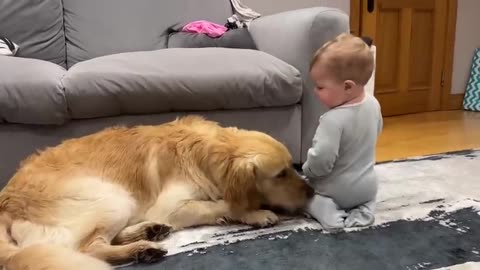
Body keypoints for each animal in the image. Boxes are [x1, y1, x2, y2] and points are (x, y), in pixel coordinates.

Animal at [0, 116, 314, 270]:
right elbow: (222, 204)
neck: (207, 151)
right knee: (89, 248)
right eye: (280, 174)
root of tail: (5, 203)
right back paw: (141, 250)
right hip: (112, 196)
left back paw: (149, 233)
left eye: (292, 166)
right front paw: (255, 212)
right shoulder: (170, 207)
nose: (312, 192)